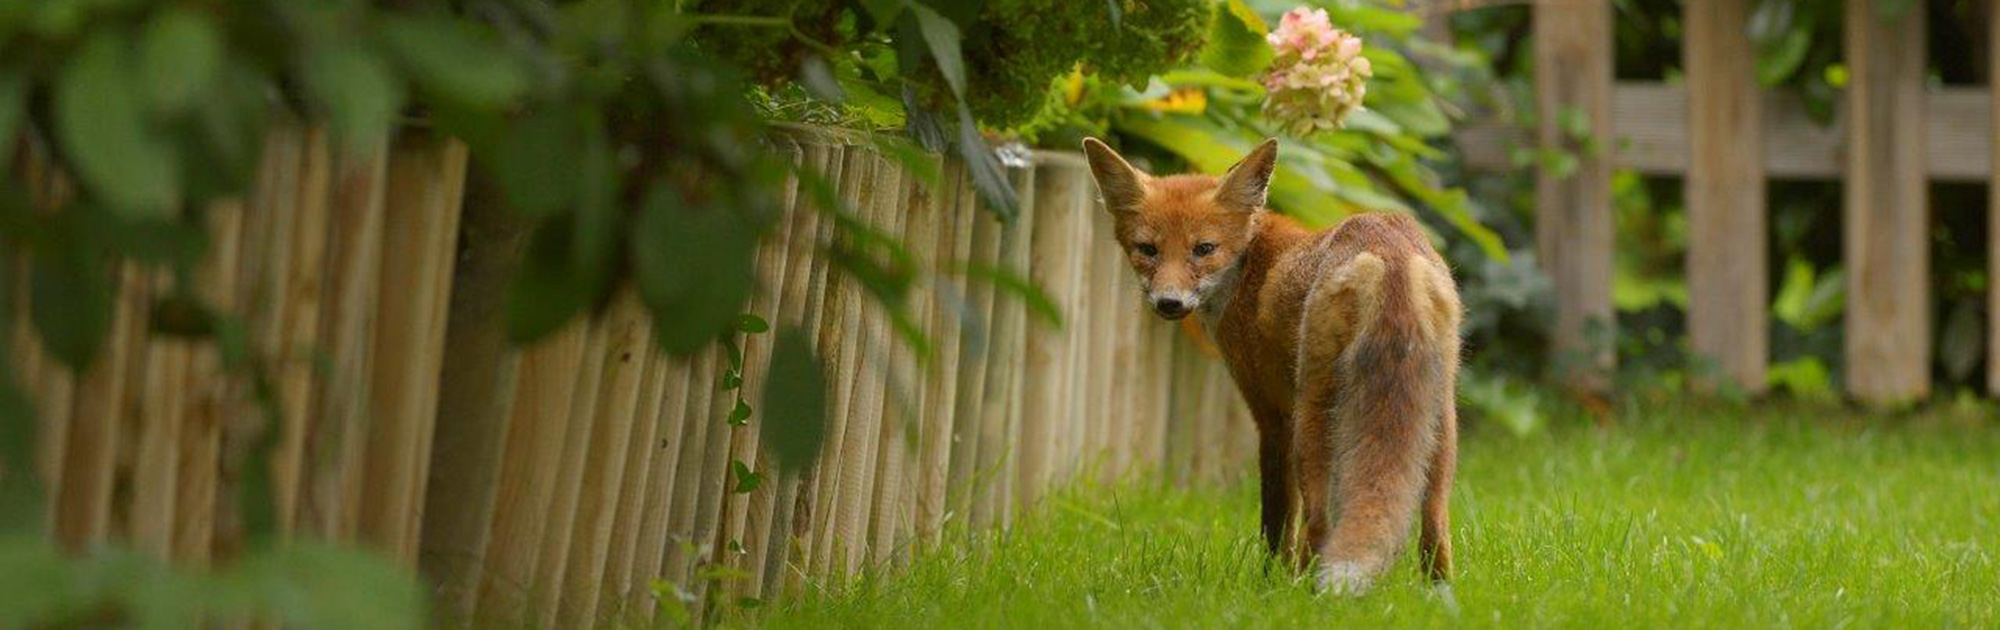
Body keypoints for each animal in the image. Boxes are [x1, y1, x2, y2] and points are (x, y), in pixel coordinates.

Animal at [1082, 137, 1461, 596]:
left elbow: (1277, 522)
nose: (1169, 303)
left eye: (1203, 249)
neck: (1248, 262)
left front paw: (1268, 585)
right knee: (1435, 527)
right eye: (1148, 250)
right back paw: (1437, 597)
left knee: (1318, 524)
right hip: (1439, 422)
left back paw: (1306, 594)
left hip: (1313, 419)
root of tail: (1387, 246)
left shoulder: (1271, 415)